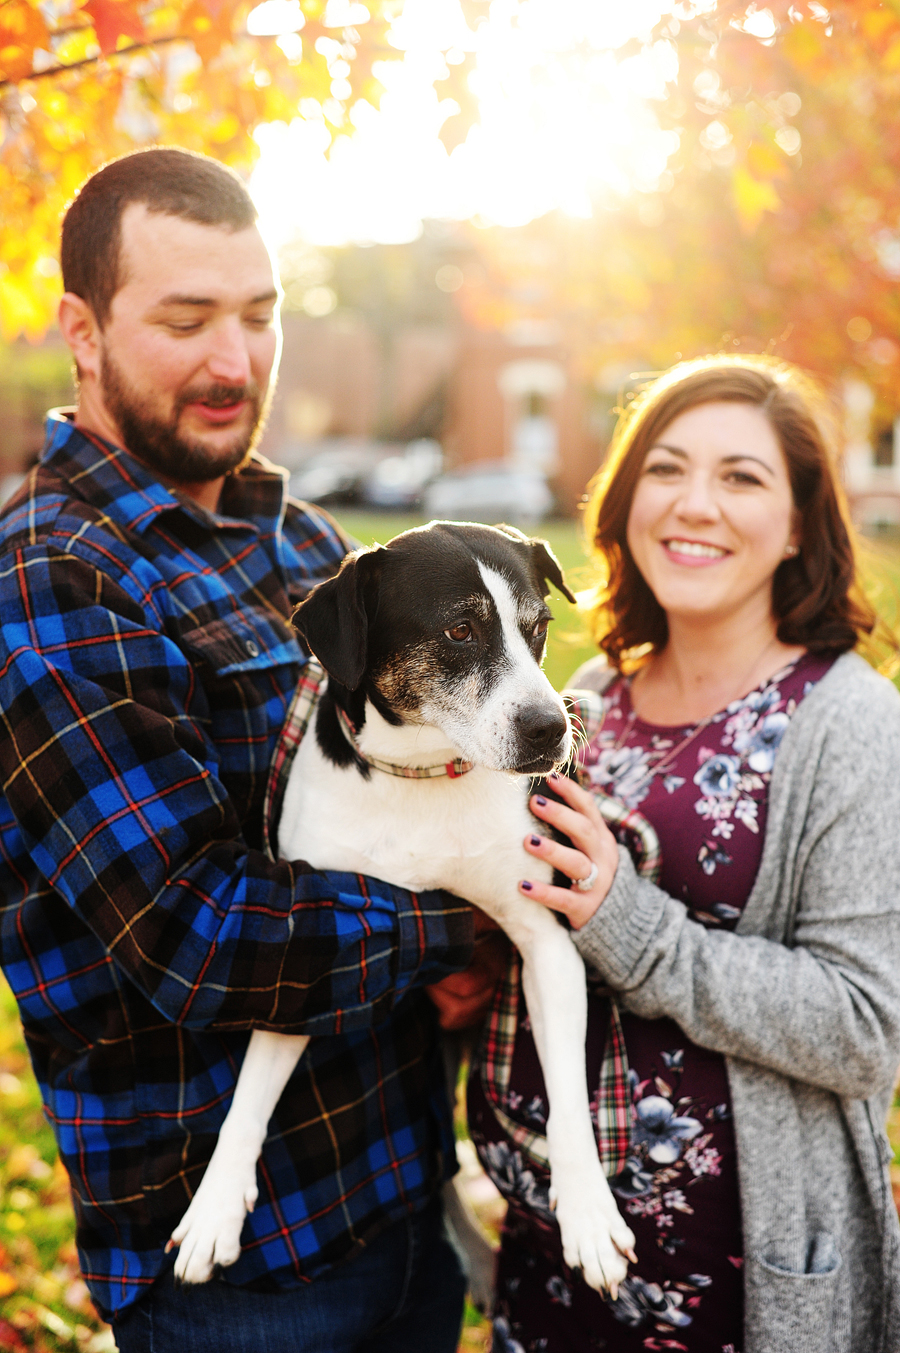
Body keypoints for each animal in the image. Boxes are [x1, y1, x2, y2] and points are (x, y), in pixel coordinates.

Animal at [166, 519, 630, 1298]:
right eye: (461, 629)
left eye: (538, 628)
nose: (550, 729)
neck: (424, 774)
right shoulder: (310, 953)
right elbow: (247, 1101)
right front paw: (213, 1209)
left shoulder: (545, 940)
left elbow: (567, 1098)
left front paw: (590, 1215)